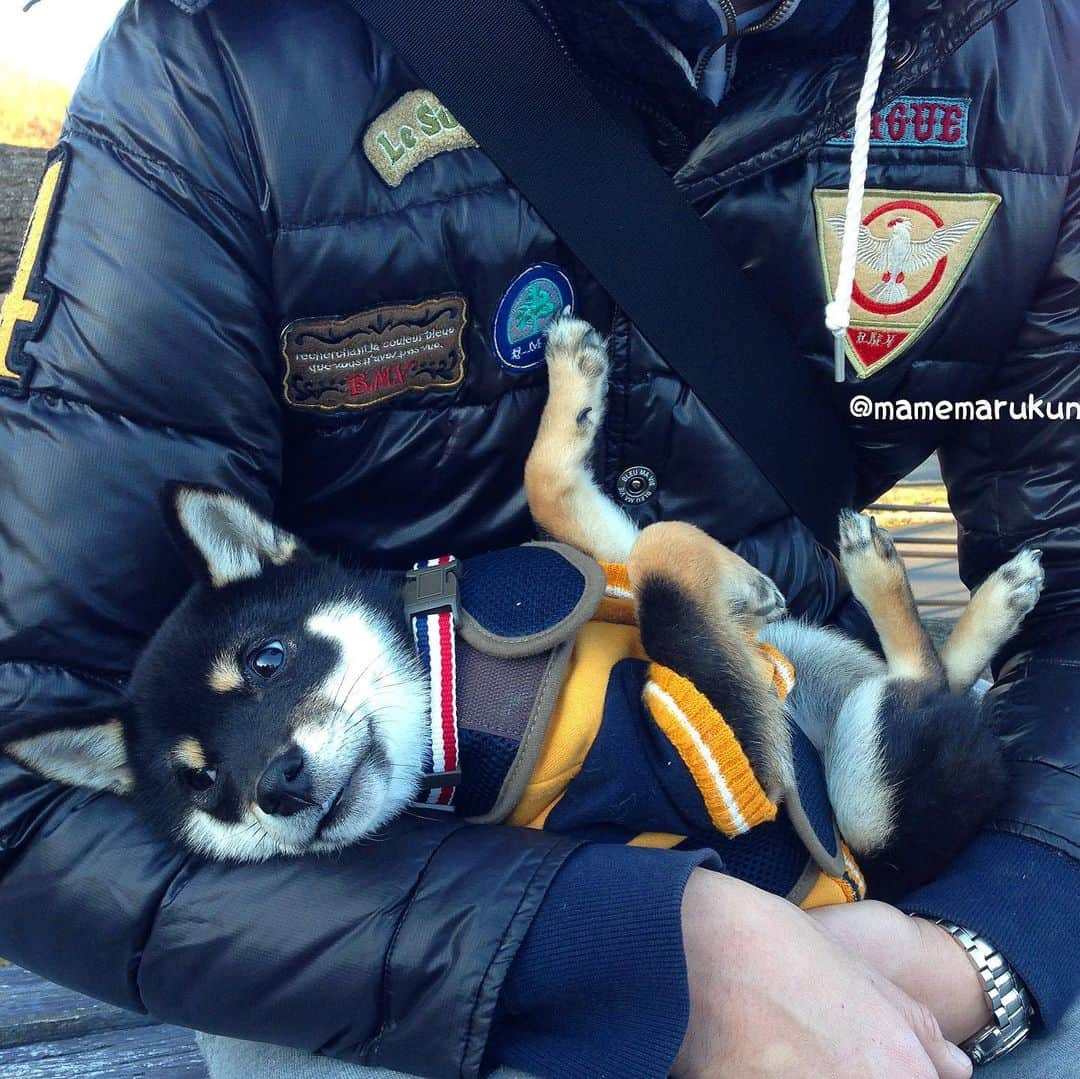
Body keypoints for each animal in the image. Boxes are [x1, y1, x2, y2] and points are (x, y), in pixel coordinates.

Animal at [4, 315, 1041, 898]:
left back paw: (979, 598)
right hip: (865, 800)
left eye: (268, 660)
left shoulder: (597, 561)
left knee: (931, 676)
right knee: (921, 688)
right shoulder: (715, 748)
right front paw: (740, 580)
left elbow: (562, 493)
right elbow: (666, 568)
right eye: (202, 784)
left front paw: (574, 379)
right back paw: (901, 574)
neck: (451, 680)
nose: (278, 785)